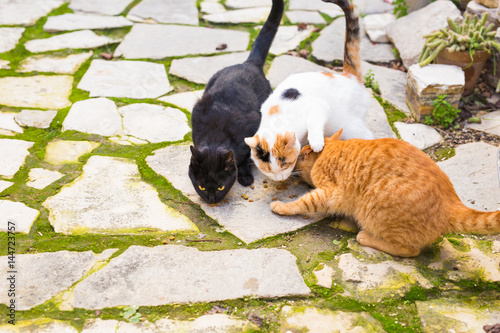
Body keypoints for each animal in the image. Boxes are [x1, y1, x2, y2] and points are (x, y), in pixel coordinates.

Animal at [189, 0, 284, 202]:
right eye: (201, 187)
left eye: (220, 187)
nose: (211, 200)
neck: (216, 137)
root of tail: (248, 63)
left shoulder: (252, 125)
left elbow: (245, 156)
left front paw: (245, 175)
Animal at [244, 0, 374, 182]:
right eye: (268, 170)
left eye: (285, 164)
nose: (280, 179)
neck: (276, 114)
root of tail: (348, 75)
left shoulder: (317, 106)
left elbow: (314, 120)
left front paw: (316, 142)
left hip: (351, 125)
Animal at [272, 130, 500, 256]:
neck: (329, 151)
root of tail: (452, 203)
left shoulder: (330, 193)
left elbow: (303, 202)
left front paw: (281, 207)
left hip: (374, 212)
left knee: (409, 250)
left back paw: (365, 237)